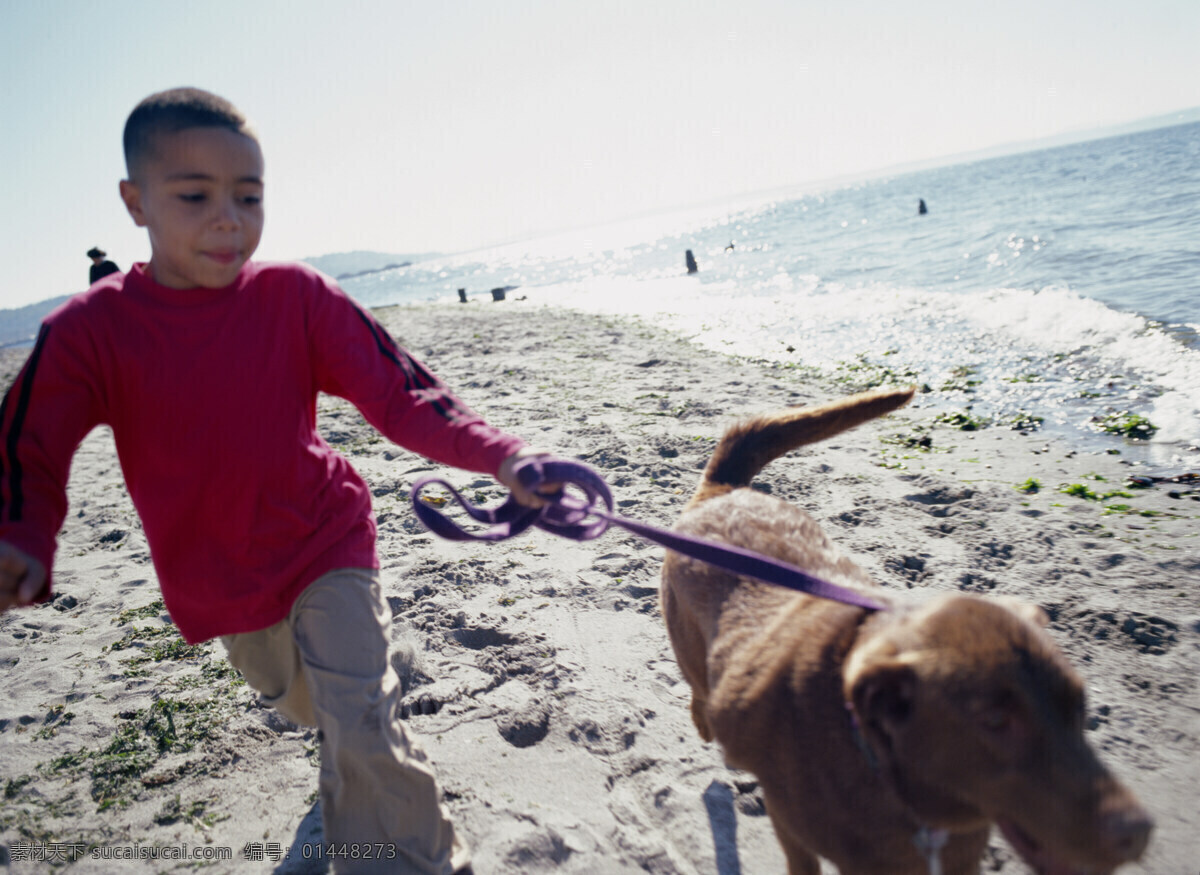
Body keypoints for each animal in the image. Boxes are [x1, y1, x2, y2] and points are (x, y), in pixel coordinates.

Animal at [662, 388, 1156, 873]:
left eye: (1079, 705)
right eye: (995, 721)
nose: (1137, 833)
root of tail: (725, 490)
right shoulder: (791, 823)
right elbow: (802, 857)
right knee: (698, 691)